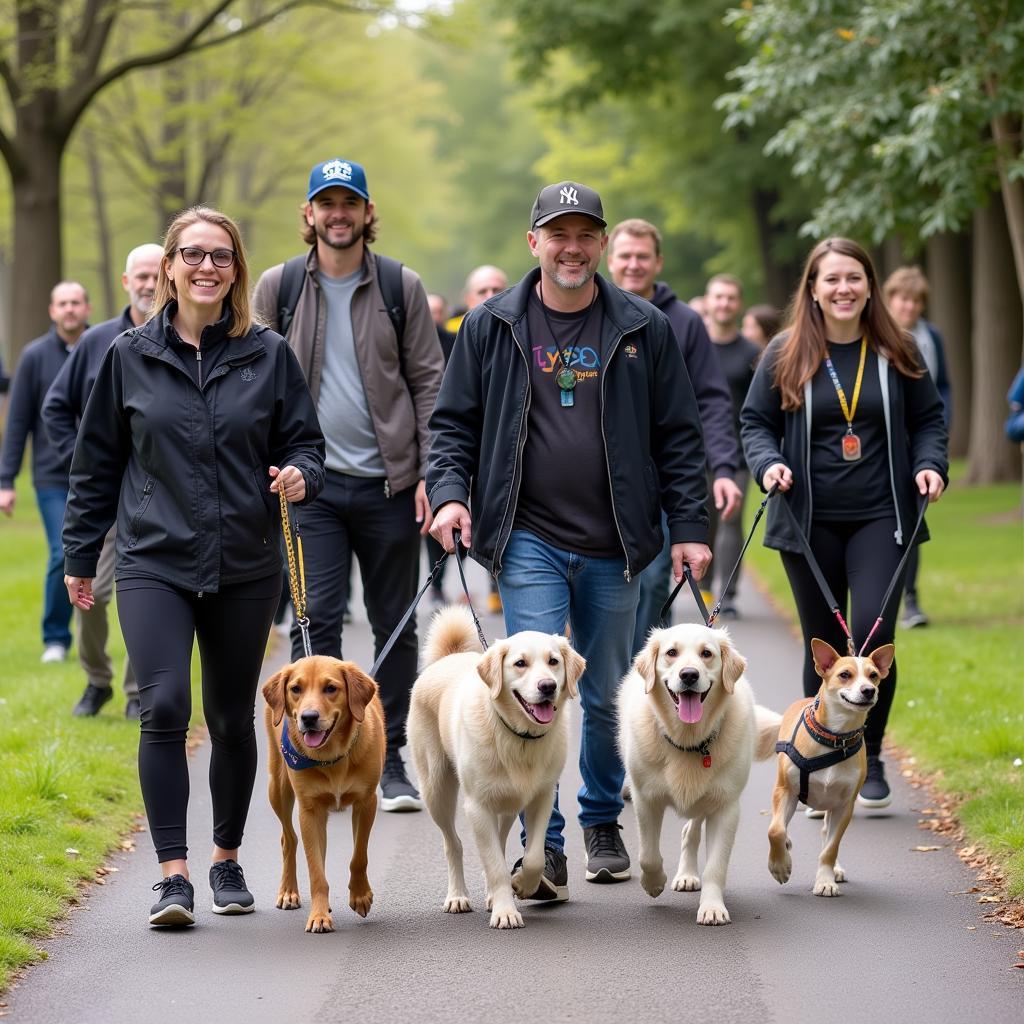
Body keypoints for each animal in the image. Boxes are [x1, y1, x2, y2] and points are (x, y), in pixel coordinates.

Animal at [264, 655, 385, 937]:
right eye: (295, 689)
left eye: (331, 688)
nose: (309, 717)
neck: (332, 757)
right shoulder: (309, 811)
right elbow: (316, 871)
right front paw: (318, 916)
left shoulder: (366, 803)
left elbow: (359, 856)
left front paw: (360, 896)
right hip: (278, 790)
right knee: (289, 839)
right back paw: (289, 891)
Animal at [405, 602, 585, 933]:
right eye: (520, 663)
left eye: (553, 661)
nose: (548, 686)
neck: (519, 737)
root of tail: (448, 657)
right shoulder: (477, 806)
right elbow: (494, 864)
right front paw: (505, 912)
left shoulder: (541, 799)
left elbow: (533, 857)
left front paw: (524, 885)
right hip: (437, 791)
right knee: (454, 844)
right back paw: (458, 896)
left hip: (508, 804)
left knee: (499, 843)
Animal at [618, 618, 778, 925]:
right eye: (671, 653)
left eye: (707, 653)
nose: (689, 675)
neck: (688, 740)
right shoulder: (646, 799)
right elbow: (648, 854)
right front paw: (653, 882)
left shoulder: (726, 807)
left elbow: (716, 866)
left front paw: (712, 907)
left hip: (706, 799)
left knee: (690, 831)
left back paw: (688, 875)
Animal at [765, 638, 892, 897]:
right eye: (845, 674)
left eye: (873, 675)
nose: (869, 690)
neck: (834, 738)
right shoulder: (785, 790)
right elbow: (775, 830)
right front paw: (780, 866)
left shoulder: (844, 806)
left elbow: (831, 848)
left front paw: (825, 880)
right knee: (782, 825)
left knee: (826, 835)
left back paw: (835, 869)